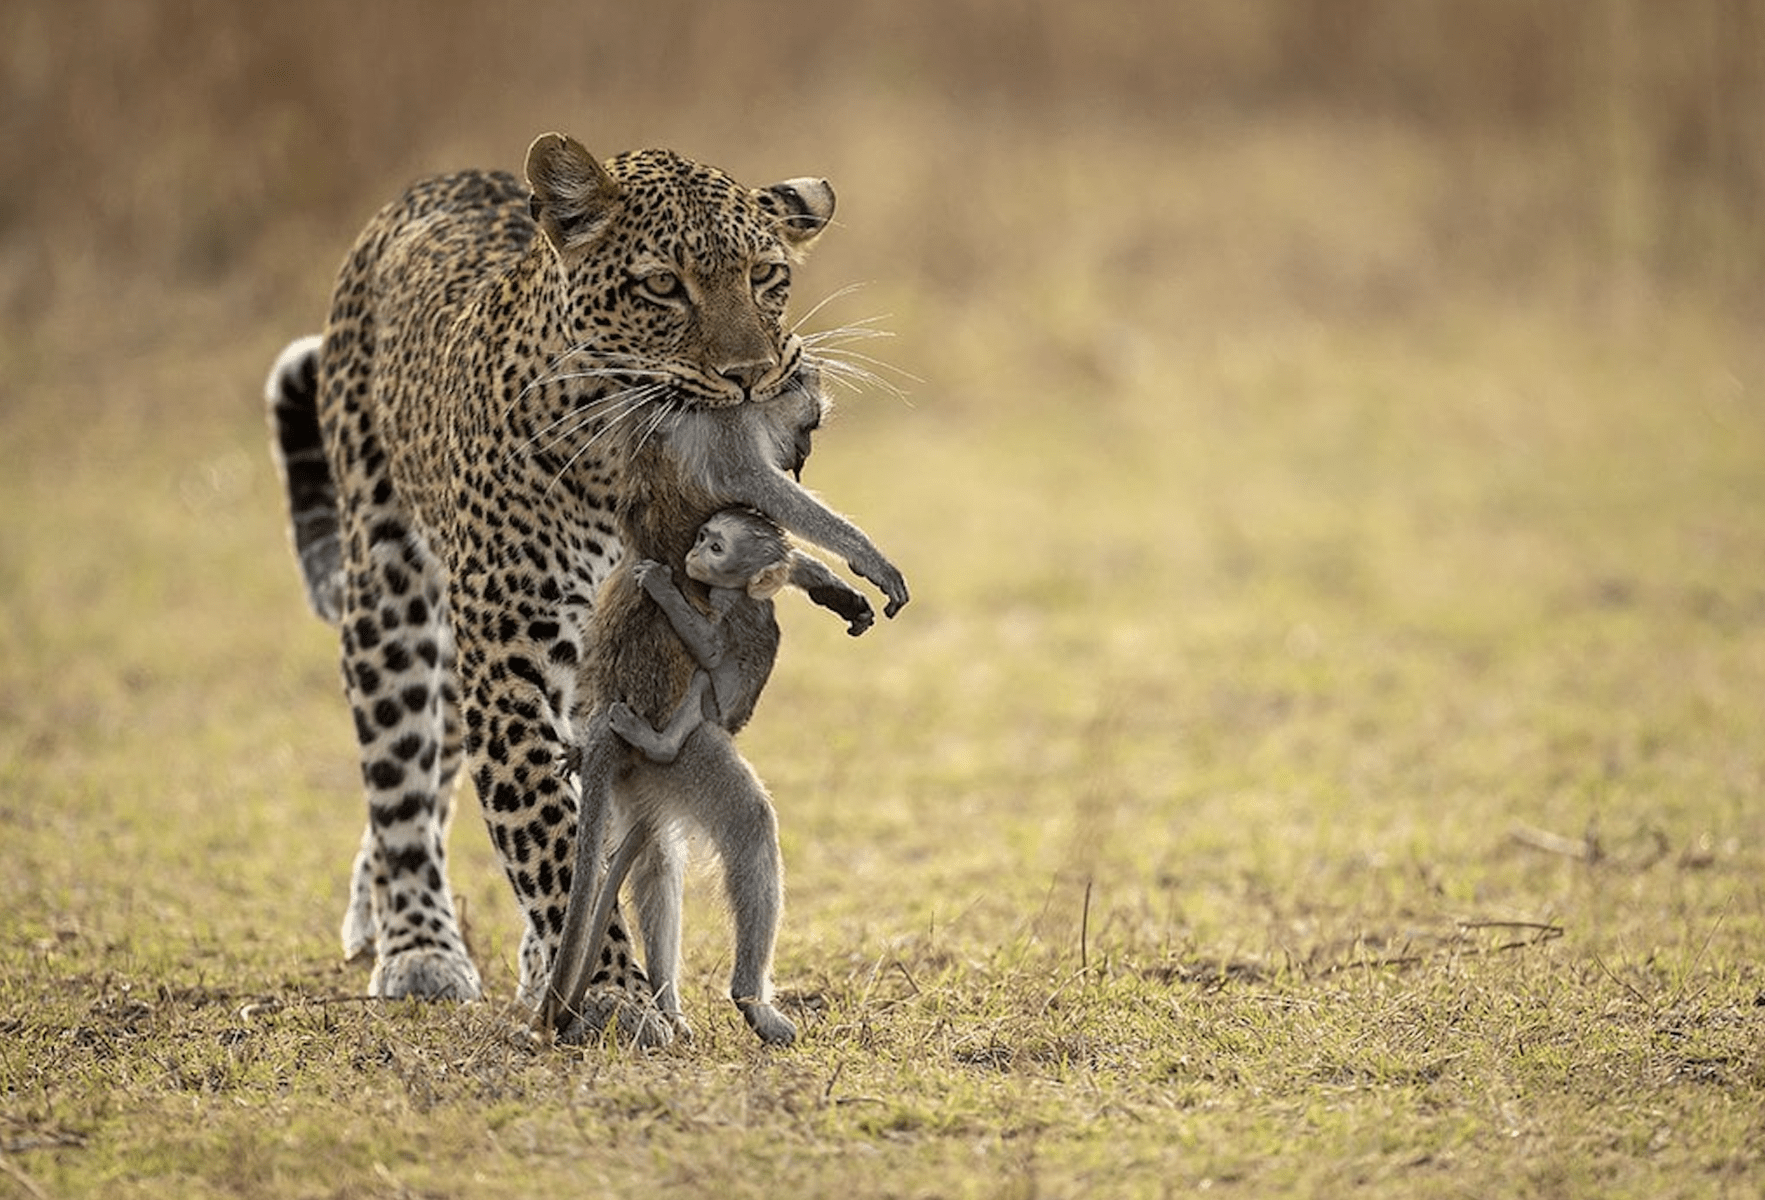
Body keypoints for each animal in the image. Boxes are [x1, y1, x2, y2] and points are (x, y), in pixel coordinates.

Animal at [266, 131, 903, 1044]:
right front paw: (608, 990)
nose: (752, 375)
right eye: (663, 285)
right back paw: (418, 941)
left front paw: (578, 975)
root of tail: (437, 182)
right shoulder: (508, 651)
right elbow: (549, 830)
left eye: (766, 276)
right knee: (401, 774)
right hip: (393, 589)